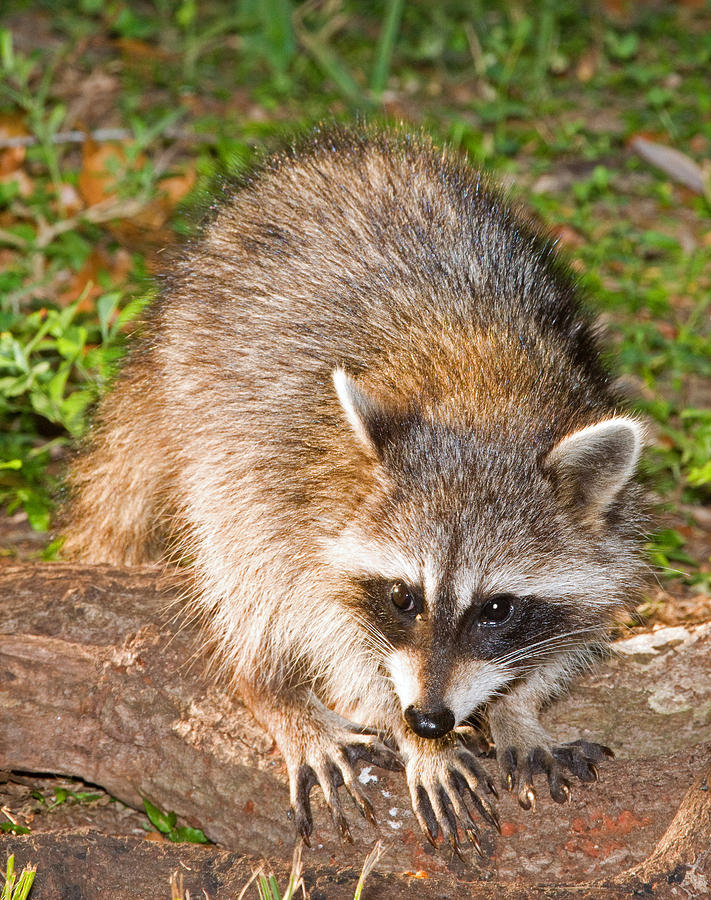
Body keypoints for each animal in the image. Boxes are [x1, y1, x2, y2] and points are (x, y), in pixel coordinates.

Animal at [64, 125, 648, 852]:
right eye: (402, 597)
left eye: (497, 608)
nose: (428, 719)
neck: (487, 398)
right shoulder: (304, 495)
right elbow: (329, 628)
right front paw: (410, 736)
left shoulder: (609, 530)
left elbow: (577, 630)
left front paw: (516, 707)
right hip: (209, 406)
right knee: (242, 564)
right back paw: (269, 686)